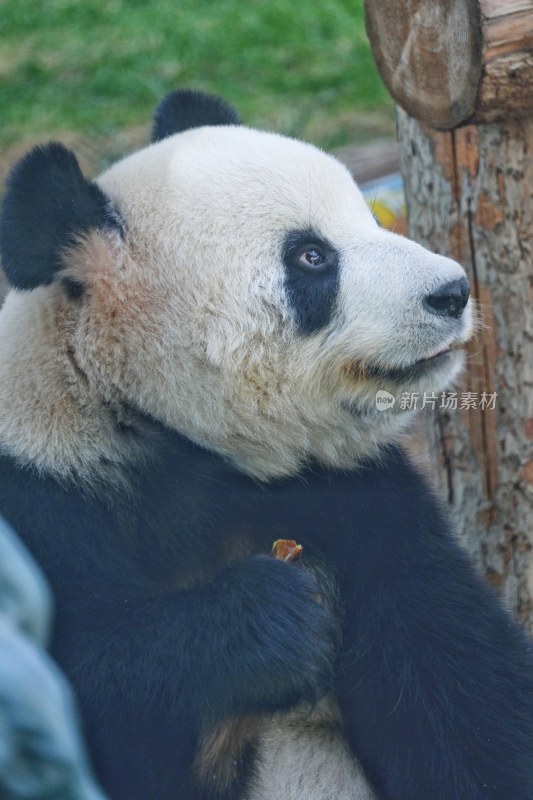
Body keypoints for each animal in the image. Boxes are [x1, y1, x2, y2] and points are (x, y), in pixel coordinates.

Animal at [1, 87, 532, 800]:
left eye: (366, 214)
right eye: (311, 257)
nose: (452, 292)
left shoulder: (356, 496)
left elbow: (459, 696)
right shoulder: (42, 494)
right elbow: (88, 683)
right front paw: (271, 622)